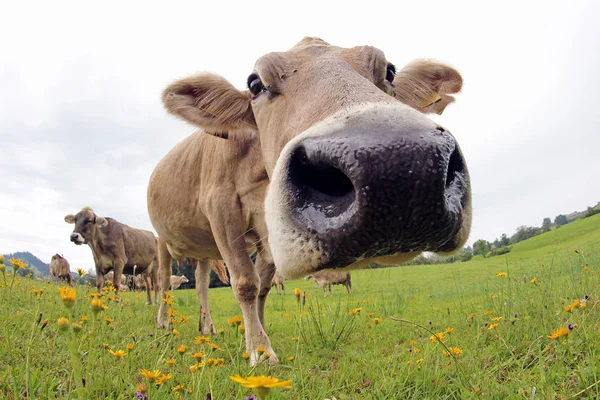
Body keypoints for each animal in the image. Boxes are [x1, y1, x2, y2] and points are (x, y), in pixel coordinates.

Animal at [148, 37, 472, 366]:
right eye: (255, 84)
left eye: (390, 72)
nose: (396, 165)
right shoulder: (221, 209)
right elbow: (246, 283)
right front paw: (260, 352)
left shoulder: (269, 232)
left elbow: (264, 286)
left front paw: (258, 340)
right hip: (161, 239)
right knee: (163, 280)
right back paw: (163, 323)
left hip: (202, 251)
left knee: (201, 284)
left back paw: (207, 326)